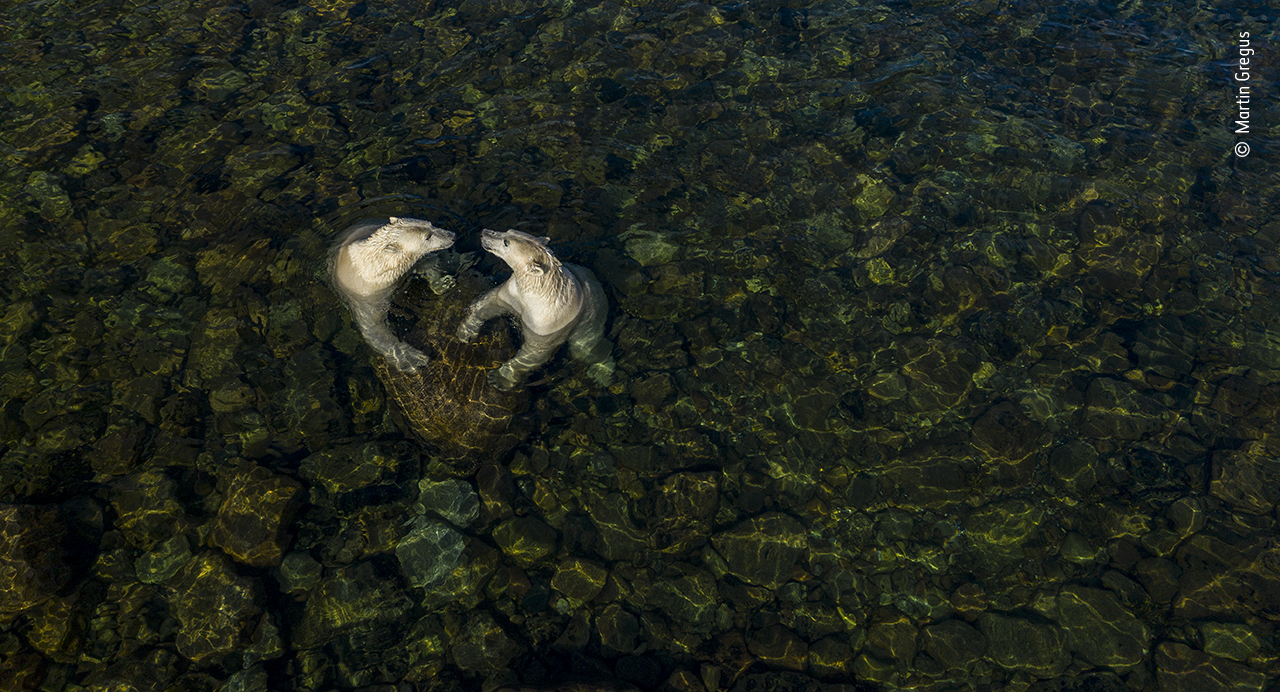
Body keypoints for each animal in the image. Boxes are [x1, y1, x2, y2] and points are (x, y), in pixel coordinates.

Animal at [329, 216, 456, 372]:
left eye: (430, 224)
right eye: (427, 236)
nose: (453, 236)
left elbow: (426, 264)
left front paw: (445, 283)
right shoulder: (366, 295)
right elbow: (374, 329)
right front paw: (416, 358)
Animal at [457, 228, 615, 390]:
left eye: (506, 243)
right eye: (508, 231)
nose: (484, 232)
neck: (538, 292)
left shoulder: (545, 323)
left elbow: (533, 353)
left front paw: (498, 378)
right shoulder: (513, 293)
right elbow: (490, 303)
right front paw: (465, 332)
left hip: (592, 315)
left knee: (585, 349)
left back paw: (602, 372)